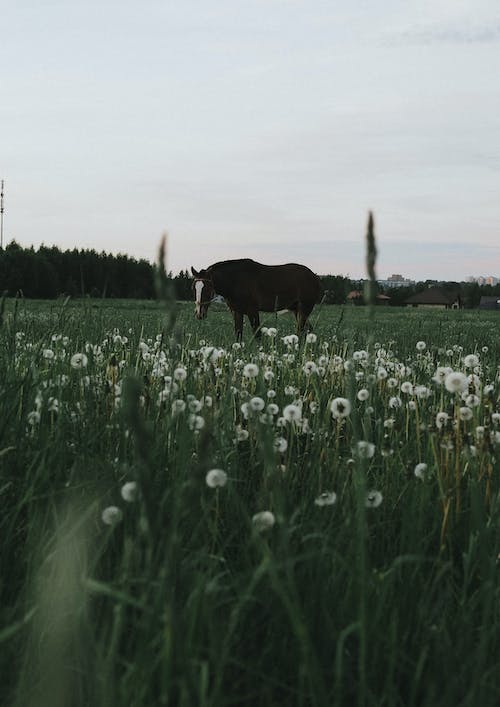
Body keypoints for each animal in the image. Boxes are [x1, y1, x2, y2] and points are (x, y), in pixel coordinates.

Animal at [189, 258, 322, 342]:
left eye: (207, 289)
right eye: (193, 288)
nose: (199, 314)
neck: (235, 281)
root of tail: (314, 276)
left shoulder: (252, 311)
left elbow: (257, 335)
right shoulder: (237, 312)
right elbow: (238, 334)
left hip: (304, 308)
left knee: (300, 330)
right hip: (296, 309)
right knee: (308, 330)